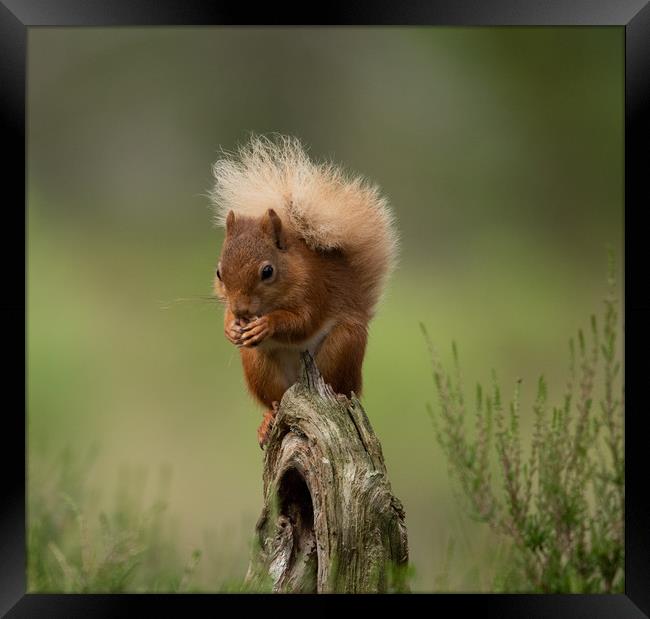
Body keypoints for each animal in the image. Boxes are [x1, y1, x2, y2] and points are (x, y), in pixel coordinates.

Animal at [208, 136, 398, 448]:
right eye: (219, 272)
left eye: (267, 271)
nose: (241, 311)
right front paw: (230, 327)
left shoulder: (316, 291)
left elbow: (303, 322)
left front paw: (267, 324)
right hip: (258, 365)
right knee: (273, 400)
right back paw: (268, 420)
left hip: (342, 347)